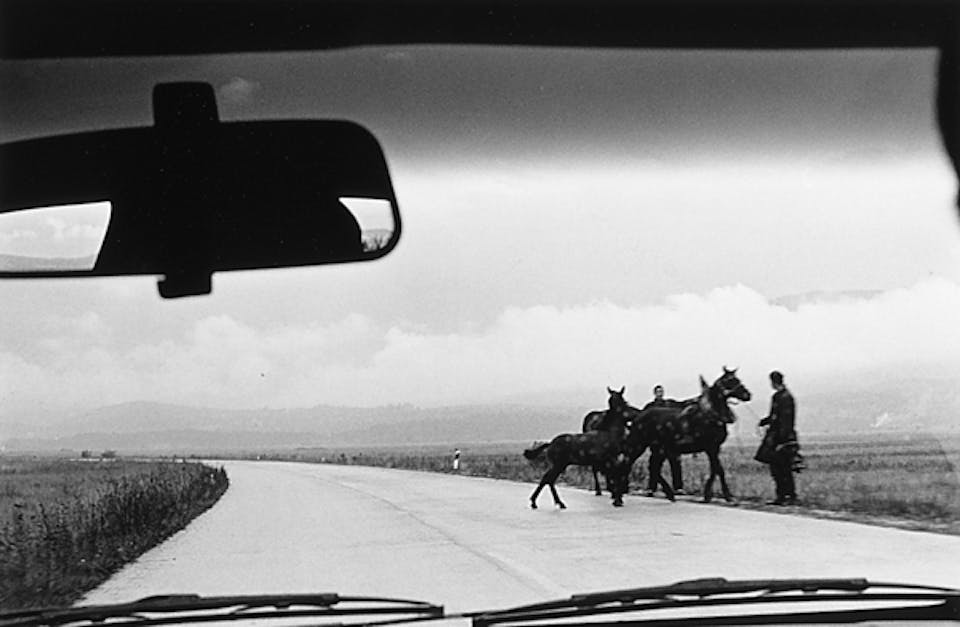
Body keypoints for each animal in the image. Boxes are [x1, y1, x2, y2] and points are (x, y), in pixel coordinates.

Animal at [623, 367, 751, 503]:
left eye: (737, 379)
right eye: (730, 380)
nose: (747, 395)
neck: (709, 415)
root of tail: (639, 416)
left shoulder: (715, 448)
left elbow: (715, 469)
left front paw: (709, 495)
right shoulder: (711, 447)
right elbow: (719, 470)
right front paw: (726, 495)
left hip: (659, 448)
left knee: (653, 467)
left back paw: (668, 493)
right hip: (639, 444)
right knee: (632, 461)